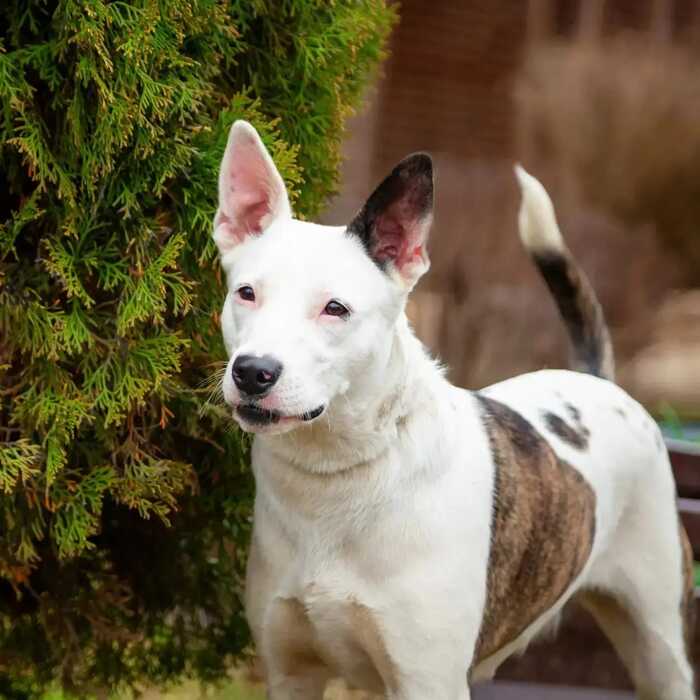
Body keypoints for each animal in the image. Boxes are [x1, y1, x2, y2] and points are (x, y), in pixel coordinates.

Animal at [212, 121, 696, 700]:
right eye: (246, 294)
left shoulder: (427, 678)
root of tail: (597, 380)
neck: (342, 473)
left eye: (335, 309)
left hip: (660, 643)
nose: (253, 372)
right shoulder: (292, 673)